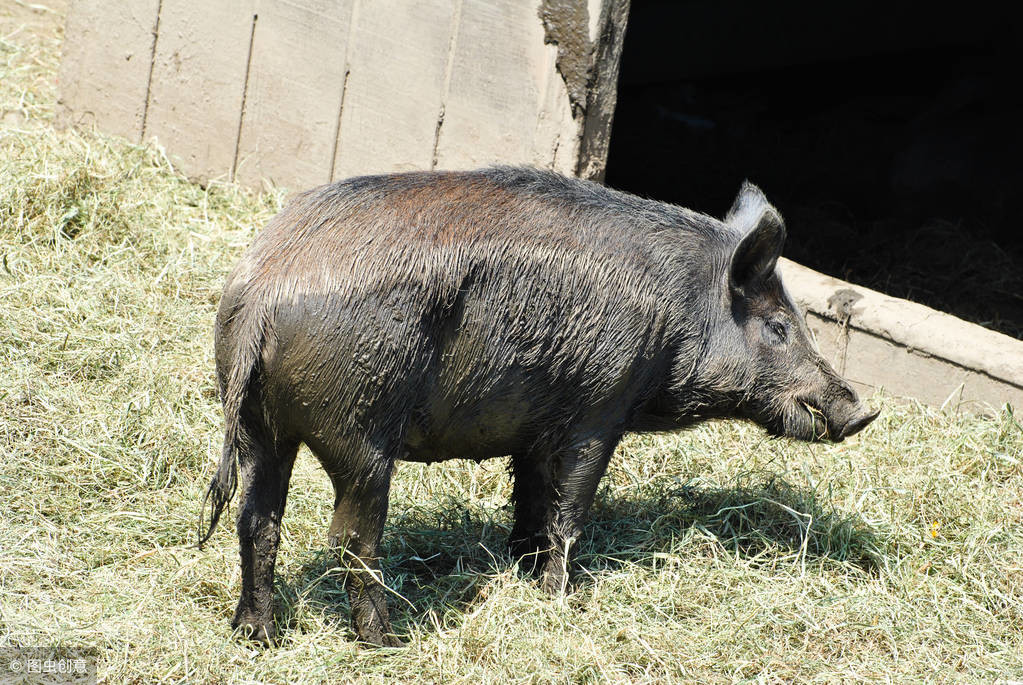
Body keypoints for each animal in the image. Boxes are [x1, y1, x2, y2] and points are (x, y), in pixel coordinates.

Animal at [199, 167, 879, 650]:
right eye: (777, 327)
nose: (860, 411)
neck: (682, 315)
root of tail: (263, 292)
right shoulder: (601, 408)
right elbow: (570, 509)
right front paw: (559, 599)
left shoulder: (532, 428)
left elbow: (530, 500)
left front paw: (523, 572)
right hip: (359, 432)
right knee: (349, 540)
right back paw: (388, 643)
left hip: (259, 424)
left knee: (256, 520)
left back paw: (256, 637)